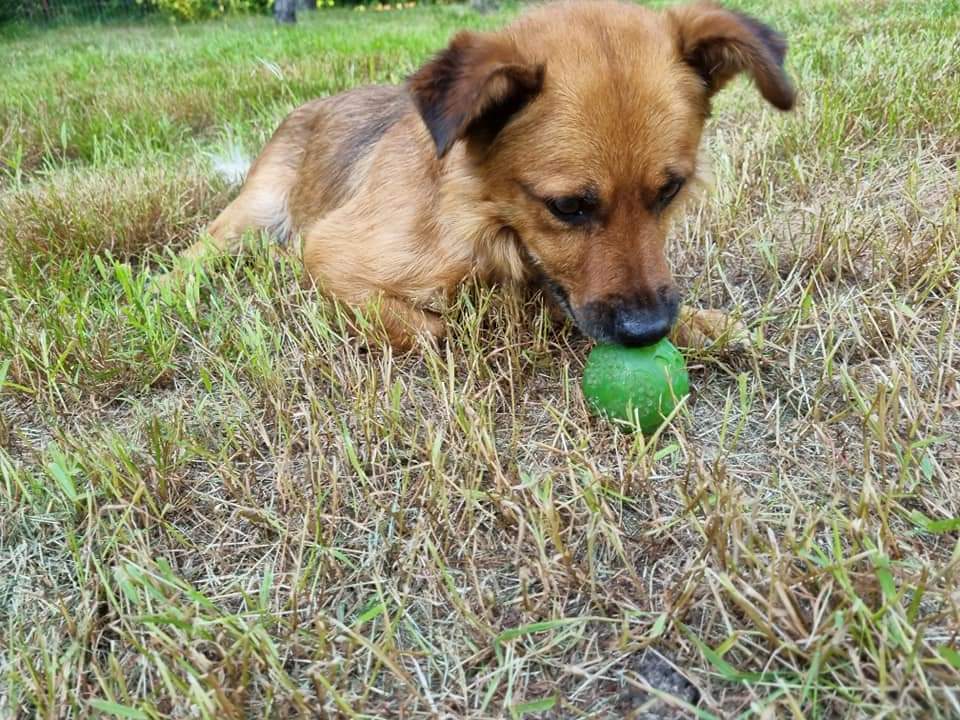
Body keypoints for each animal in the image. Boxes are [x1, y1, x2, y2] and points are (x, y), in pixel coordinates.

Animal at [174, 0, 795, 350]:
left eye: (671, 190)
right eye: (568, 206)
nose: (649, 332)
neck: (482, 218)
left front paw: (703, 323)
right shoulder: (333, 250)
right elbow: (432, 331)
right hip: (251, 212)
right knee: (195, 254)